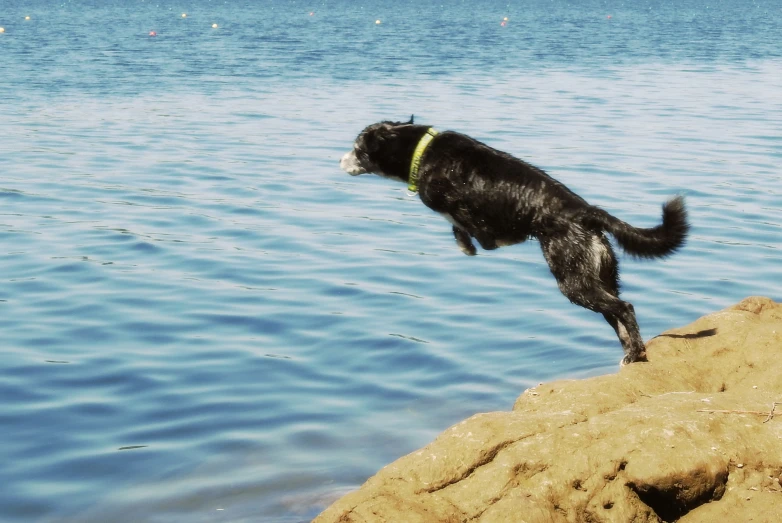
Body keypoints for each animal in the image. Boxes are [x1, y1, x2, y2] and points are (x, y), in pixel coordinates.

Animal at [340, 118, 688, 364]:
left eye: (357, 148)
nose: (339, 160)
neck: (422, 151)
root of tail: (586, 212)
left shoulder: (449, 202)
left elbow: (461, 224)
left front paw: (475, 244)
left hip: (574, 281)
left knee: (624, 309)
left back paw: (635, 351)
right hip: (600, 277)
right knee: (618, 315)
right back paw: (632, 352)